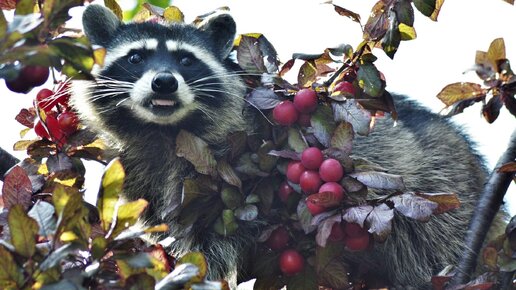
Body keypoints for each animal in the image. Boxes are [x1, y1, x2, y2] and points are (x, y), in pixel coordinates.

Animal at [74, 3, 498, 288]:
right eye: (135, 57)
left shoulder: (236, 161)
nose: (164, 82)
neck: (164, 130)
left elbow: (215, 241)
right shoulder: (143, 170)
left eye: (186, 60)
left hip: (444, 191)